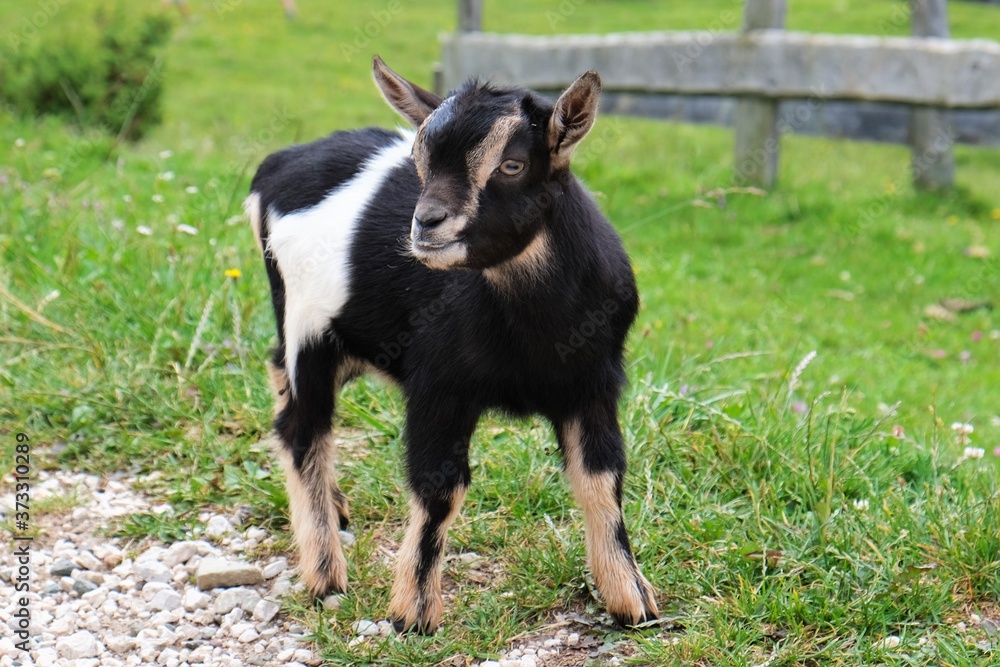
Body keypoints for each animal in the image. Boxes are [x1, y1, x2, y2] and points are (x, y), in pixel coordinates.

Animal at [246, 56, 658, 634]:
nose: (427, 223)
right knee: (302, 430)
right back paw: (325, 574)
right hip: (308, 327)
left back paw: (336, 509)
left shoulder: (594, 383)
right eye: (419, 160)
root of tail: (276, 166)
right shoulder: (439, 386)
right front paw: (413, 612)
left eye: (512, 165)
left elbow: (602, 480)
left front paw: (632, 598)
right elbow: (441, 487)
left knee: (279, 375)